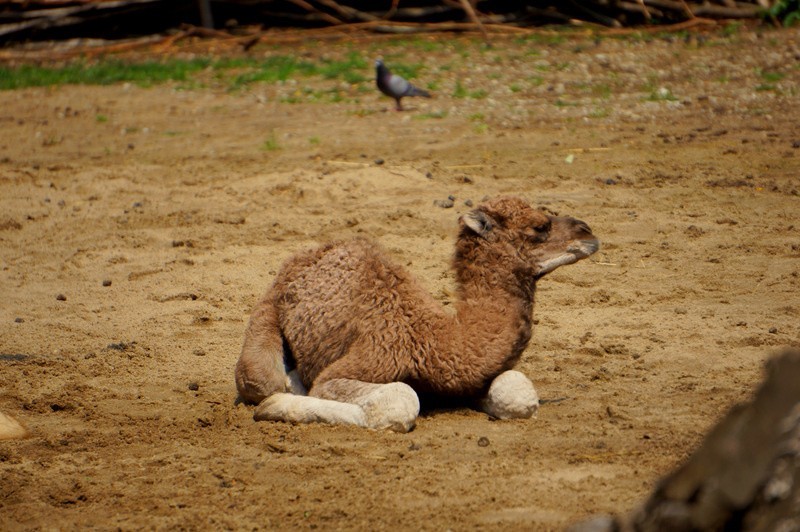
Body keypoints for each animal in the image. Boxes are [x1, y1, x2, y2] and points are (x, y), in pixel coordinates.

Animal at [234, 195, 596, 432]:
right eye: (539, 227)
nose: (588, 232)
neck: (433, 341)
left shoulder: (469, 380)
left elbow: (518, 393)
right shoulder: (358, 364)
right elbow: (401, 400)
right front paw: (276, 407)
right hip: (266, 315)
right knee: (262, 378)